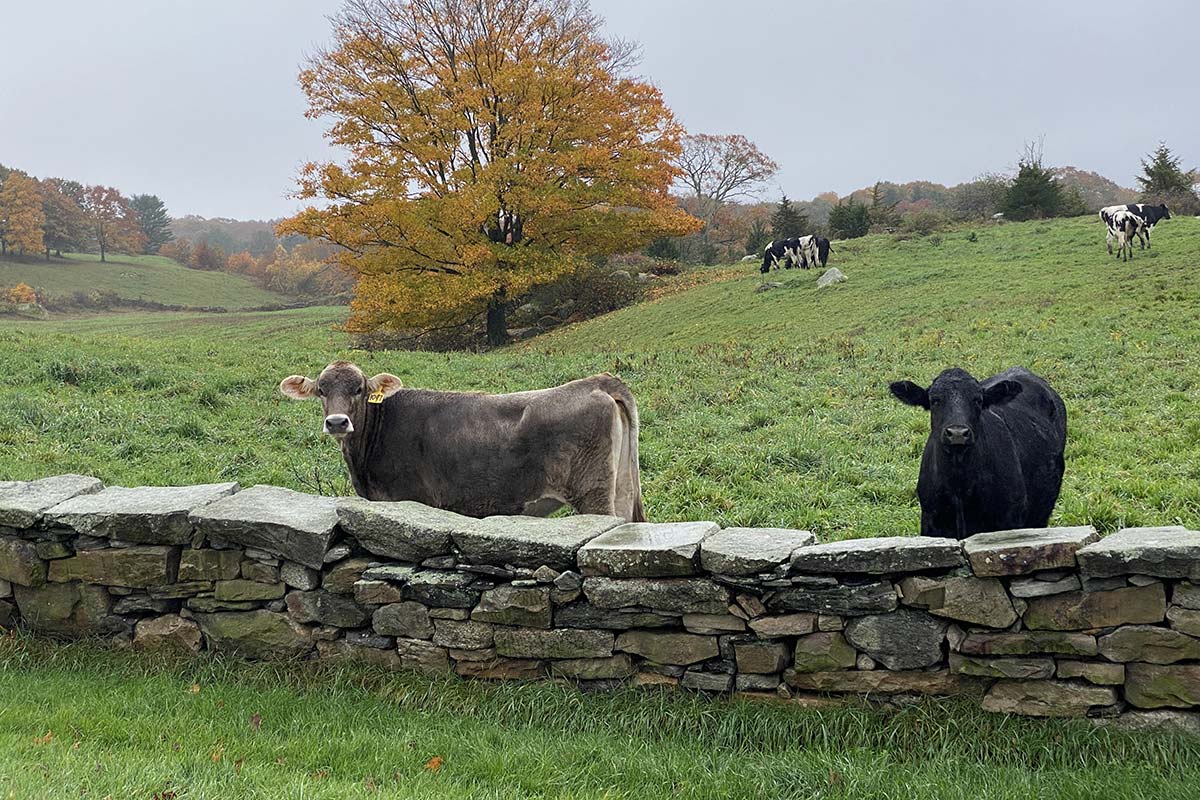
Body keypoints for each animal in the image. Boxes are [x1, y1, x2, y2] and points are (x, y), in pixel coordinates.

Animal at [280, 362, 645, 521]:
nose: (337, 422)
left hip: (593, 493)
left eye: (359, 389)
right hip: (623, 489)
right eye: (321, 390)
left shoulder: (409, 498)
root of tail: (596, 381)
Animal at [888, 366, 1067, 540]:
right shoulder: (931, 522)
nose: (957, 433)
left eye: (978, 400)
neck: (959, 486)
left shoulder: (1010, 520)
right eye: (935, 400)